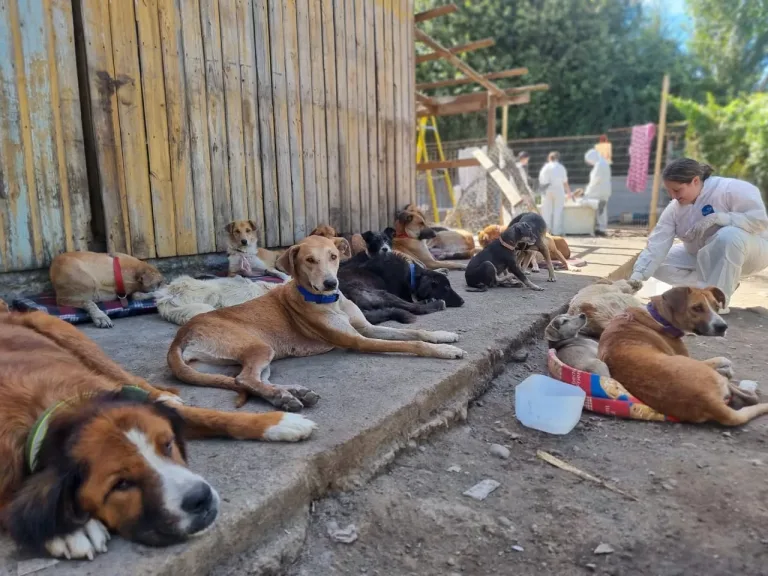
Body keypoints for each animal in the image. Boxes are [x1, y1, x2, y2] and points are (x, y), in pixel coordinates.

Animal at [0, 310, 316, 560]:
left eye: (168, 445)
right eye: (121, 484)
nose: (200, 499)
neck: (60, 411)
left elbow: (217, 417)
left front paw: (279, 423)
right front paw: (66, 529)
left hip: (65, 332)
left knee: (133, 380)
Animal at [169, 234, 468, 410]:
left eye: (334, 257)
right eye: (309, 260)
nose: (331, 283)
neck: (329, 301)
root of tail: (181, 335)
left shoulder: (366, 328)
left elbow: (416, 332)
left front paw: (443, 336)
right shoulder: (359, 340)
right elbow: (413, 344)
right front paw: (445, 351)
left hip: (246, 357)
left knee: (248, 380)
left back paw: (292, 393)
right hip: (259, 347)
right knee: (245, 379)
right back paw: (284, 398)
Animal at [600, 286, 768, 426]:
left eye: (716, 306)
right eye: (697, 308)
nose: (723, 327)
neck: (658, 316)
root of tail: (709, 402)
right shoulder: (692, 357)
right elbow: (721, 359)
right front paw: (726, 365)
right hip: (712, 375)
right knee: (745, 393)